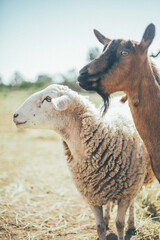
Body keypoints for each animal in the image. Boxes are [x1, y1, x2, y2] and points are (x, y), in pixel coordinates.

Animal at [13, 84, 154, 240]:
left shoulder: (126, 192)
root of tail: (120, 99)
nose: (15, 115)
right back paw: (107, 218)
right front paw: (103, 227)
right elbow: (99, 227)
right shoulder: (91, 194)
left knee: (132, 204)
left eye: (48, 98)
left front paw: (123, 229)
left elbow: (119, 224)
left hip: (135, 181)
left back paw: (132, 224)